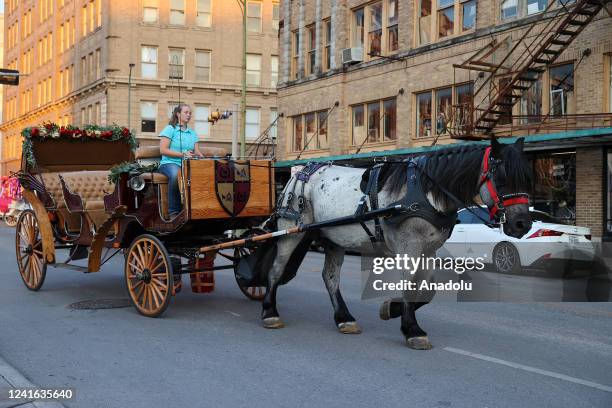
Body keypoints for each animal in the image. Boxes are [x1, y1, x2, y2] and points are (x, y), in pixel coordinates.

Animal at [260, 139, 532, 350]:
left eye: (528, 179)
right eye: (503, 179)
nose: (522, 224)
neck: (426, 192)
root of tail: (301, 172)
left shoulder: (429, 250)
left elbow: (427, 290)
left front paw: (391, 309)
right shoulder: (408, 247)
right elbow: (409, 286)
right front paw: (412, 329)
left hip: (333, 238)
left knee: (330, 277)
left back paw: (344, 318)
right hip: (291, 231)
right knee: (275, 270)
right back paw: (270, 312)